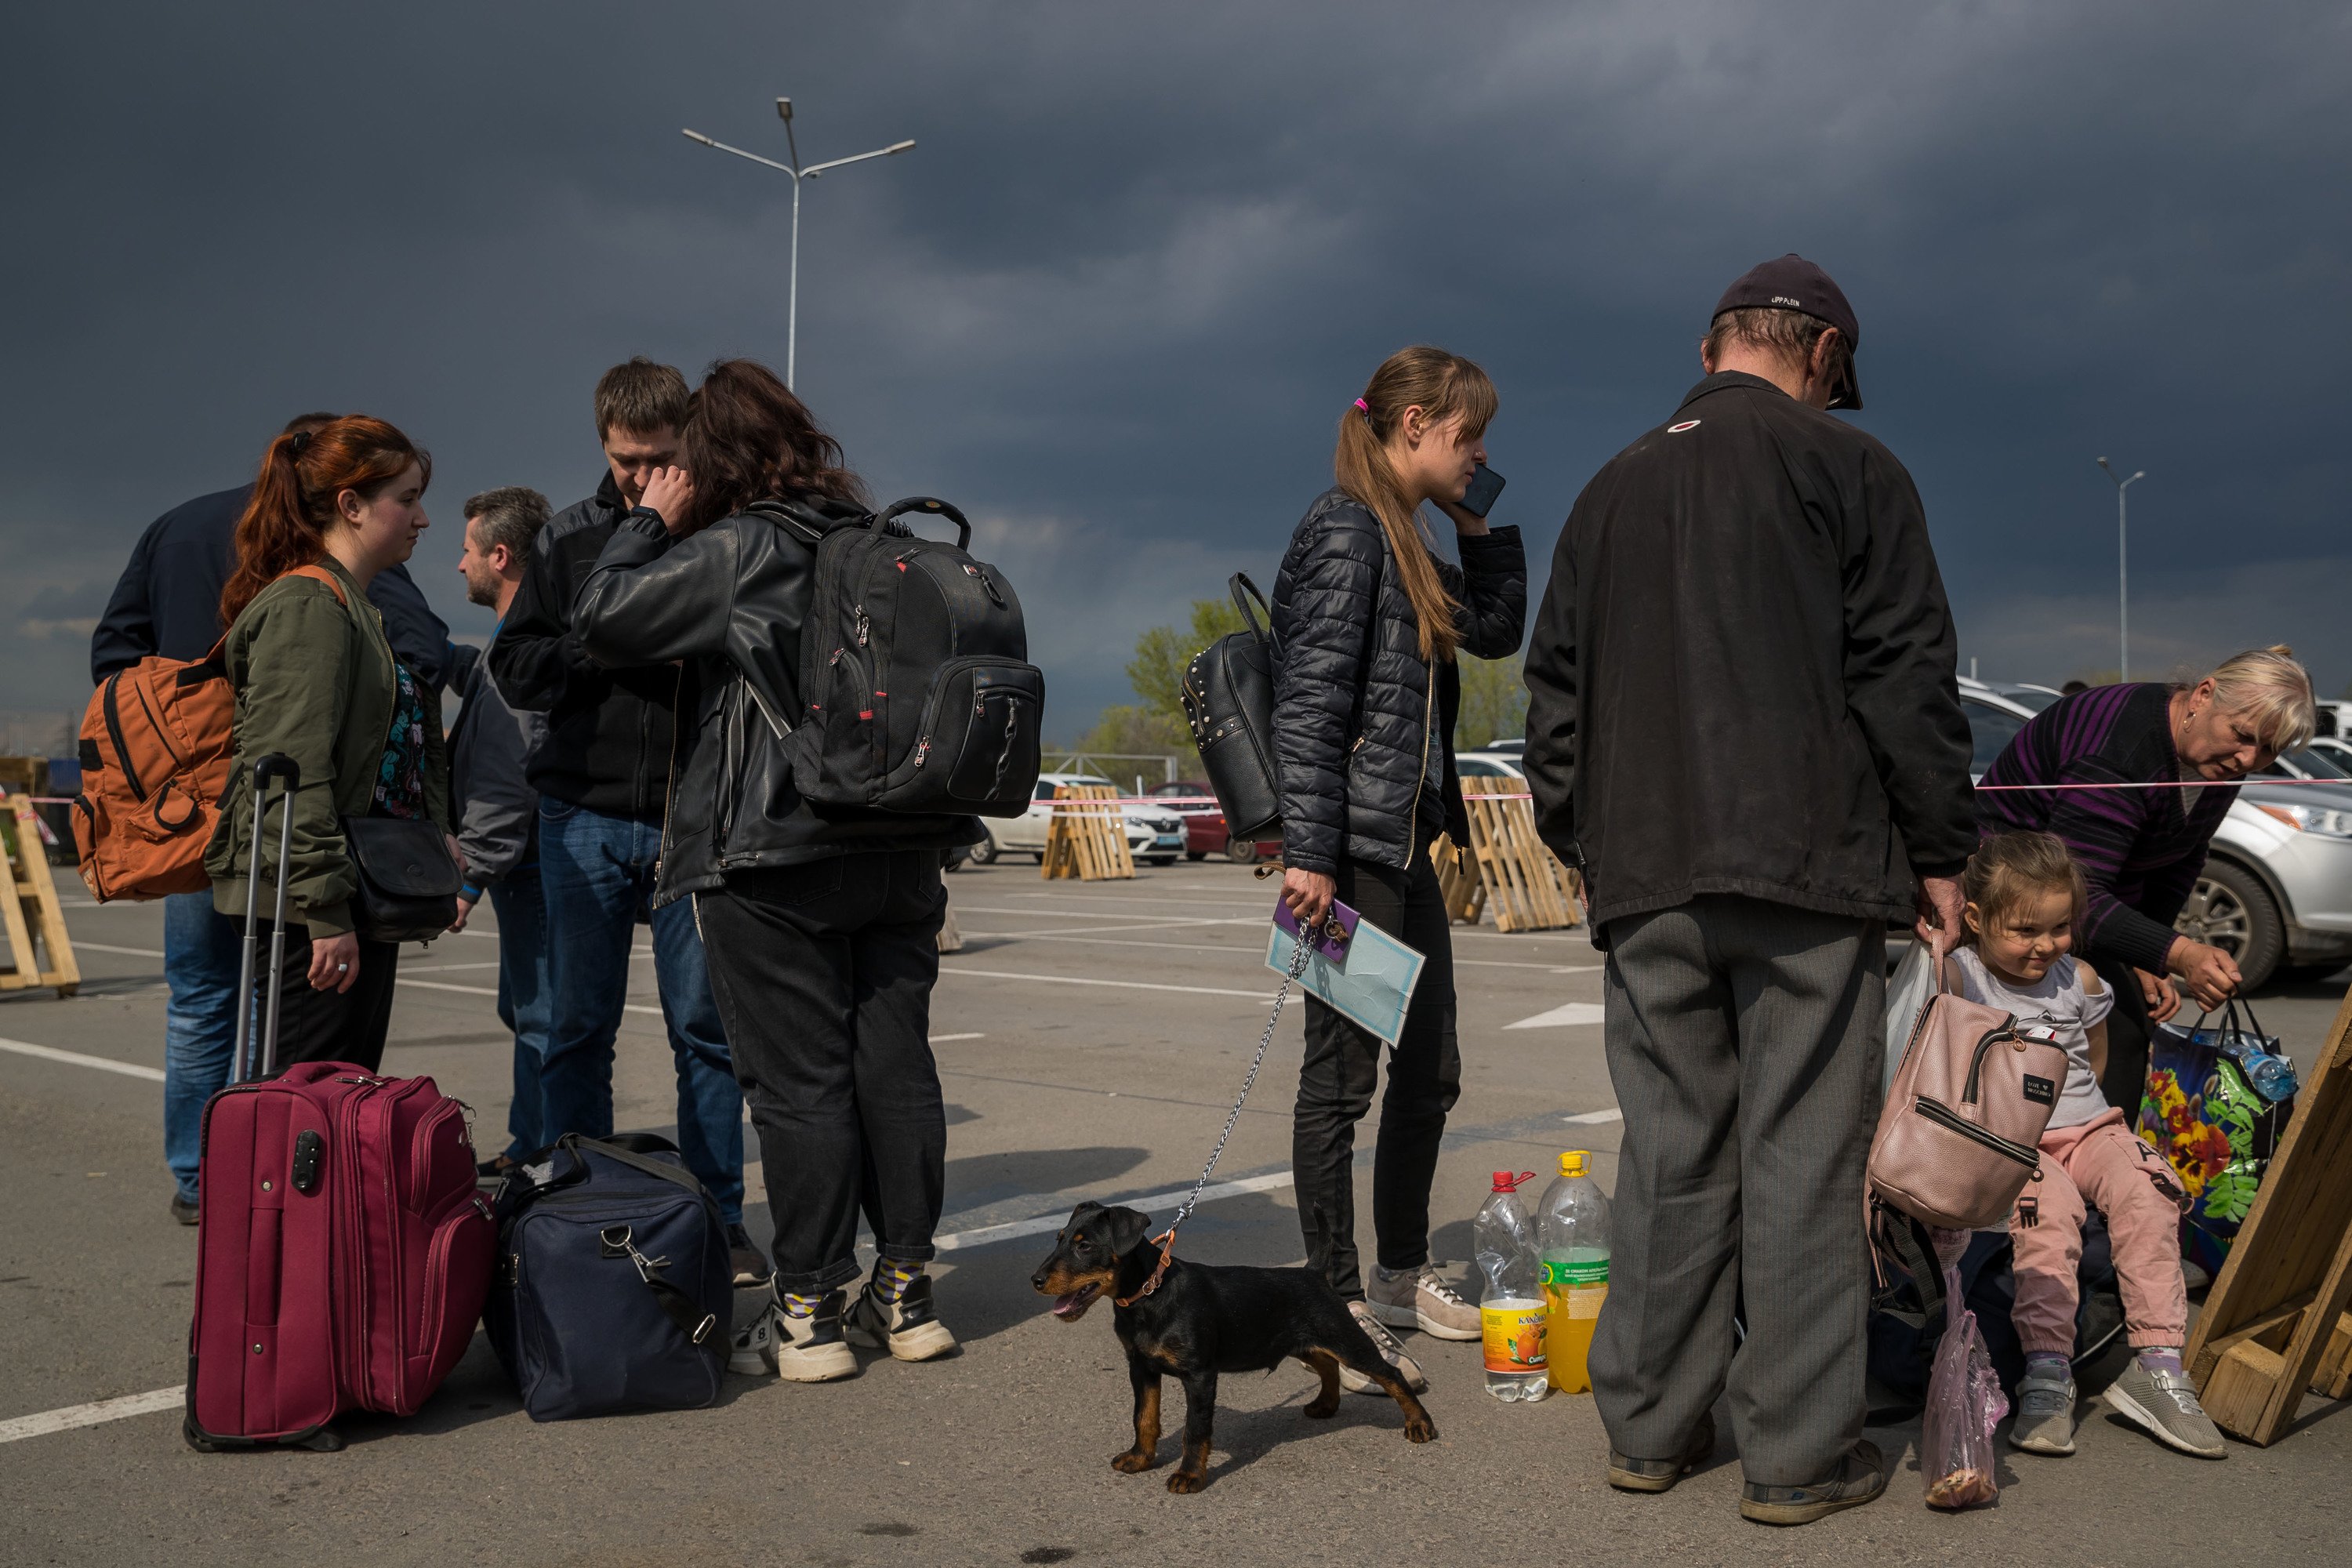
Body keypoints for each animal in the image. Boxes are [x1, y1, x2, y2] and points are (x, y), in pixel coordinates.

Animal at [1030, 1213, 1430, 1495]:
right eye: (1059, 1240)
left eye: (1084, 1246)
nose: (1035, 1280)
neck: (1150, 1294)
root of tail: (1313, 1273)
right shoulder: (1141, 1368)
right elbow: (1144, 1417)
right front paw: (1140, 1458)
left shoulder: (1200, 1376)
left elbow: (1195, 1430)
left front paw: (1189, 1476)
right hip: (1299, 1342)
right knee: (1327, 1365)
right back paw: (1326, 1405)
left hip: (1345, 1339)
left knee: (1389, 1374)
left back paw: (1419, 1424)